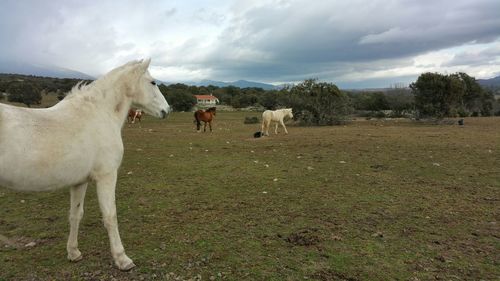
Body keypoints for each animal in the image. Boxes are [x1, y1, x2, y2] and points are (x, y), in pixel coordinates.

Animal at [0, 58, 170, 270]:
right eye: (153, 82)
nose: (167, 110)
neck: (99, 114)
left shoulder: (79, 182)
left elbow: (75, 215)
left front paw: (73, 253)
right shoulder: (107, 176)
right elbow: (110, 216)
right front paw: (122, 259)